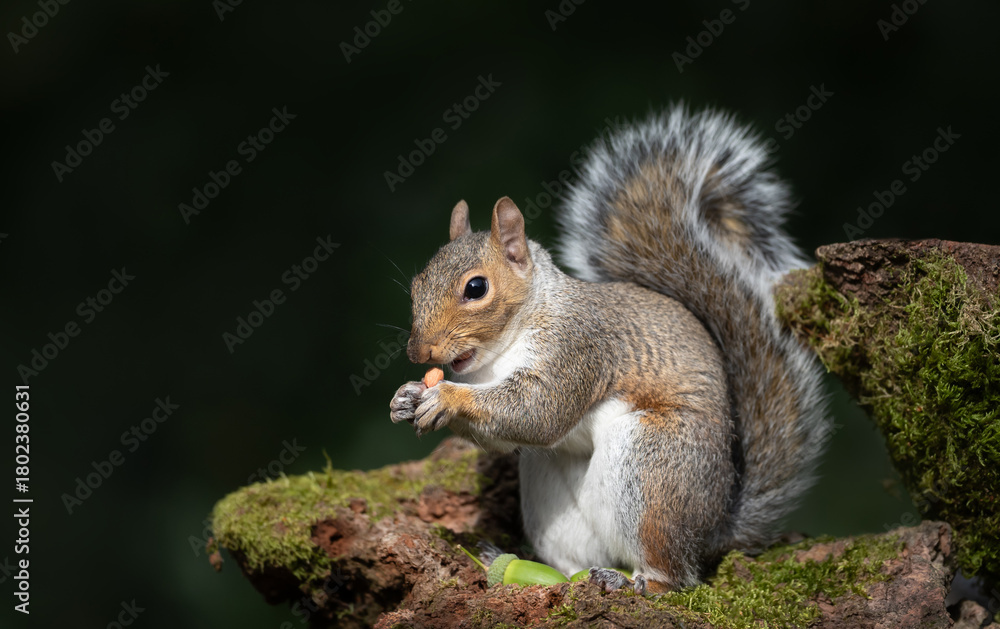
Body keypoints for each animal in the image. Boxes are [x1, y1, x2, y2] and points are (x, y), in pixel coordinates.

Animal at [389, 106, 830, 594]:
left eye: (476, 288)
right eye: (417, 284)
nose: (419, 353)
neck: (501, 353)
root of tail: (714, 529)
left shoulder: (578, 348)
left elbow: (538, 411)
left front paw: (445, 397)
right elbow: (508, 435)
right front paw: (406, 397)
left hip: (651, 467)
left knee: (675, 573)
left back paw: (637, 583)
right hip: (550, 489)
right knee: (575, 558)